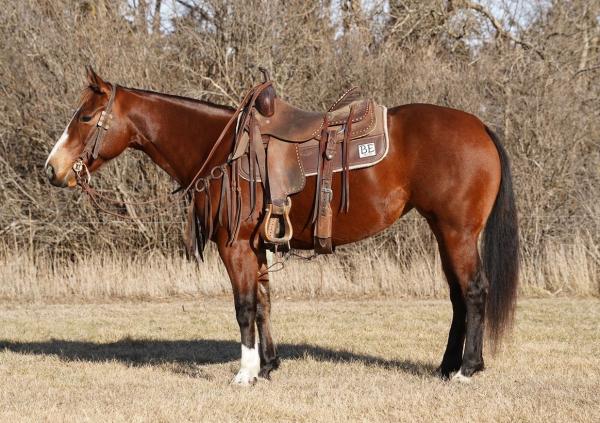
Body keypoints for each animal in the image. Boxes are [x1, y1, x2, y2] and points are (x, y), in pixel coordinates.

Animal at [45, 66, 519, 385]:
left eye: (84, 118)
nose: (52, 169)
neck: (222, 149)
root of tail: (479, 126)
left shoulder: (234, 245)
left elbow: (244, 306)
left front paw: (245, 373)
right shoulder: (257, 246)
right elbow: (264, 302)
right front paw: (269, 365)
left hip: (458, 233)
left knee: (475, 292)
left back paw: (468, 369)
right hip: (444, 232)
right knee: (458, 297)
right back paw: (446, 367)